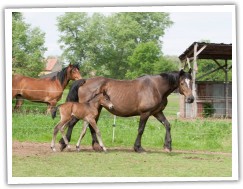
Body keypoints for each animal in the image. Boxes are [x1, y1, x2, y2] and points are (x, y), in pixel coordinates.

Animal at [59, 68, 194, 153]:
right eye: (182, 83)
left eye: (191, 82)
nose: (191, 99)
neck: (155, 87)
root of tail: (85, 81)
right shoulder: (145, 113)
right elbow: (141, 130)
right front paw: (138, 148)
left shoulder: (157, 112)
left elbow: (167, 125)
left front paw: (168, 146)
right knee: (72, 123)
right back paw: (63, 144)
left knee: (92, 126)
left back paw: (96, 146)